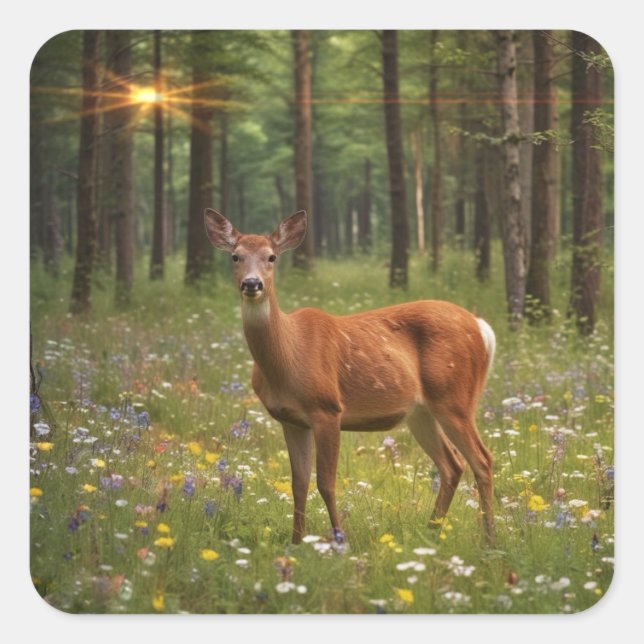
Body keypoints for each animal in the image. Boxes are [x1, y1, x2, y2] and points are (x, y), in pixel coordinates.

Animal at [204, 209, 497, 546]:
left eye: (272, 257)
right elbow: (298, 483)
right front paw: (296, 543)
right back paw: (431, 532)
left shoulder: (328, 408)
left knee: (482, 460)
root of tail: (481, 327)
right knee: (452, 465)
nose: (252, 284)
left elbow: (326, 482)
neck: (288, 357)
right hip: (421, 412)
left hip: (455, 397)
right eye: (235, 256)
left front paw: (340, 539)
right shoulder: (291, 420)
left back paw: (490, 540)